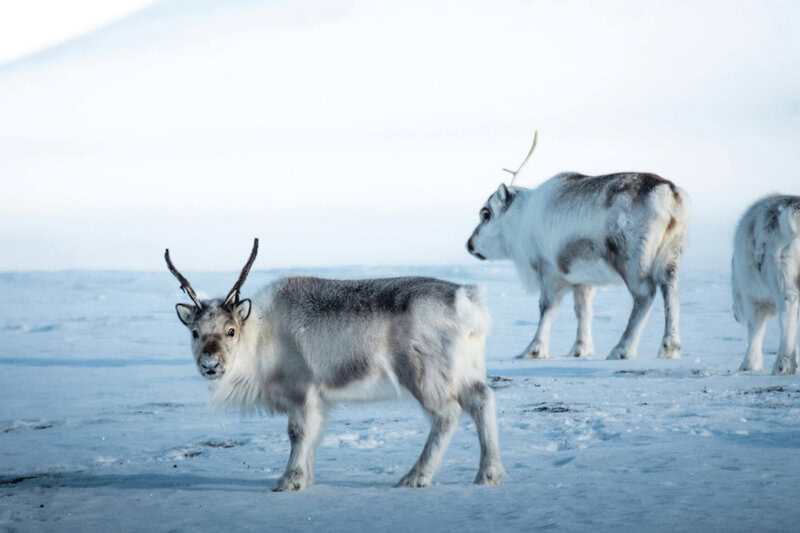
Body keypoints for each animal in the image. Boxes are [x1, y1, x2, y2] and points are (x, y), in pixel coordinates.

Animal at [166, 239, 504, 491]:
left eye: (230, 330)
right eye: (195, 332)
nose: (210, 364)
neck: (260, 336)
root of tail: (467, 301)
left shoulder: (302, 391)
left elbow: (298, 433)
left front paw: (289, 481)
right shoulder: (319, 400)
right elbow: (314, 436)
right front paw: (306, 479)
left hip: (425, 374)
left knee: (448, 415)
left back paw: (415, 477)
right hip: (465, 370)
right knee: (482, 399)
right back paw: (489, 474)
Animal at [466, 132, 689, 361]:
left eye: (486, 214)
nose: (470, 244)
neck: (521, 220)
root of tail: (669, 193)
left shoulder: (549, 271)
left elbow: (547, 309)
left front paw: (533, 350)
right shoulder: (582, 280)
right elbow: (583, 311)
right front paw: (580, 350)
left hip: (633, 260)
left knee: (645, 295)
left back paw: (622, 349)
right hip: (671, 254)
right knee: (671, 290)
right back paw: (670, 348)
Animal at [732, 195, 800, 374]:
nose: (735, 316)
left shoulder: (752, 300)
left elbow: (755, 330)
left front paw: (748, 366)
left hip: (782, 280)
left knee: (787, 314)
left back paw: (782, 365)